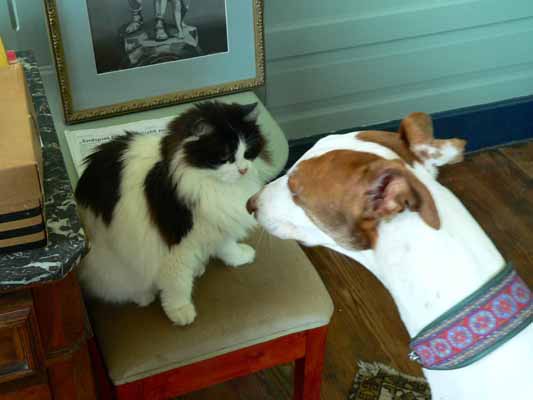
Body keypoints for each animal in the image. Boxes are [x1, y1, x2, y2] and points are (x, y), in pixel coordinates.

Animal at [75, 101, 268, 325]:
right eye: (224, 156)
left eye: (248, 152)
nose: (244, 170)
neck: (206, 182)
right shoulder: (174, 247)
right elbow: (177, 285)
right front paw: (180, 311)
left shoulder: (216, 225)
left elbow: (228, 247)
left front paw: (240, 257)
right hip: (113, 265)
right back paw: (143, 296)